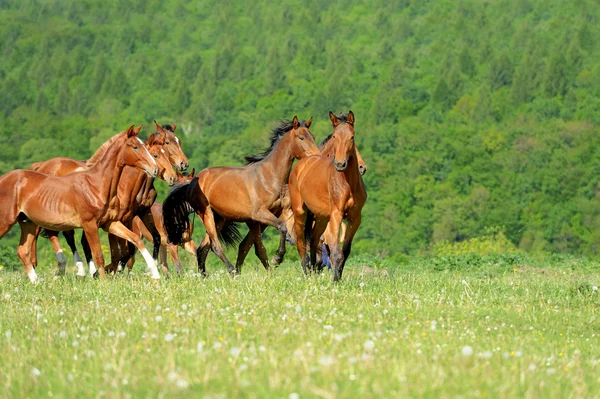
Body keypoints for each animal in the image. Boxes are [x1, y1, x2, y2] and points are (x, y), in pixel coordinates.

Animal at [0, 126, 162, 282]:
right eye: (135, 146)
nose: (155, 169)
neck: (96, 185)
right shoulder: (89, 225)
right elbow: (98, 256)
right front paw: (102, 282)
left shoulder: (109, 223)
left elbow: (136, 239)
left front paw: (155, 274)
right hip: (7, 223)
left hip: (29, 224)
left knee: (23, 251)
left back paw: (36, 282)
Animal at [162, 117, 322, 276]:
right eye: (301, 137)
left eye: (313, 137)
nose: (317, 156)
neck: (269, 177)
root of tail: (192, 183)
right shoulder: (259, 215)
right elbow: (280, 229)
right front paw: (277, 258)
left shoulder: (277, 214)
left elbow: (281, 242)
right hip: (206, 214)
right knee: (215, 246)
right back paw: (232, 271)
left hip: (220, 219)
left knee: (203, 248)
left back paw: (205, 277)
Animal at [288, 111, 366, 282]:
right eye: (335, 136)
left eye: (352, 136)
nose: (340, 164)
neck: (348, 183)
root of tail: (302, 164)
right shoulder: (336, 215)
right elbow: (336, 252)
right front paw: (336, 281)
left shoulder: (355, 218)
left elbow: (345, 251)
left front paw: (339, 277)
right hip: (300, 213)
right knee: (301, 244)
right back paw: (306, 275)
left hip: (322, 218)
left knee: (314, 241)